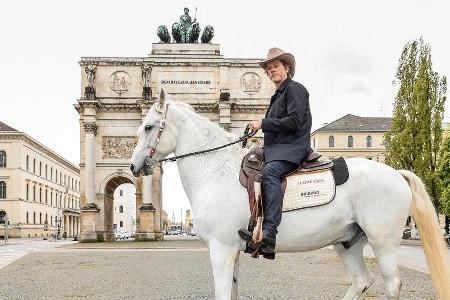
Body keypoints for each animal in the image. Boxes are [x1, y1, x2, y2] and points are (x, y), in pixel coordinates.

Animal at [130, 89, 450, 300]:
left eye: (148, 127)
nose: (134, 166)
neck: (215, 171)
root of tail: (397, 173)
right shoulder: (231, 252)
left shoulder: (221, 250)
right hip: (347, 243)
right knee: (361, 281)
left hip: (383, 244)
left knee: (391, 285)